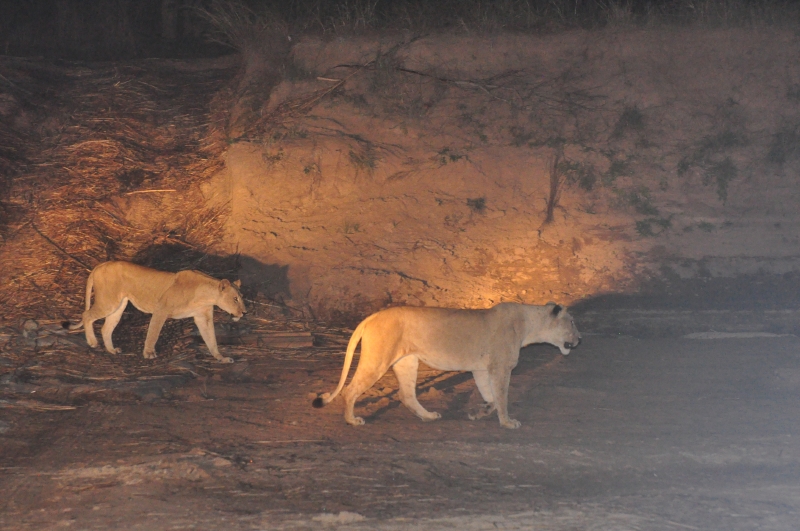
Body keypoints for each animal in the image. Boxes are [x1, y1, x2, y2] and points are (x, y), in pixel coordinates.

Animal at [64, 261, 246, 363]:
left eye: (241, 297)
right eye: (235, 299)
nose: (244, 313)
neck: (206, 295)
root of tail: (99, 266)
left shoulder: (204, 317)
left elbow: (211, 340)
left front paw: (221, 358)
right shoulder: (161, 309)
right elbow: (153, 333)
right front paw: (149, 353)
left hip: (119, 305)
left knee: (106, 327)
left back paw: (112, 350)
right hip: (108, 301)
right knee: (87, 315)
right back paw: (93, 342)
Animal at [312, 302, 581, 429]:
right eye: (572, 322)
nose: (581, 339)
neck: (529, 325)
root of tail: (372, 316)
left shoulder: (481, 368)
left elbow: (491, 397)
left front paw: (480, 412)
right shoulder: (500, 367)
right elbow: (502, 397)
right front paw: (507, 423)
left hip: (407, 362)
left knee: (406, 394)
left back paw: (428, 416)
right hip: (378, 360)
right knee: (349, 390)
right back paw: (352, 420)